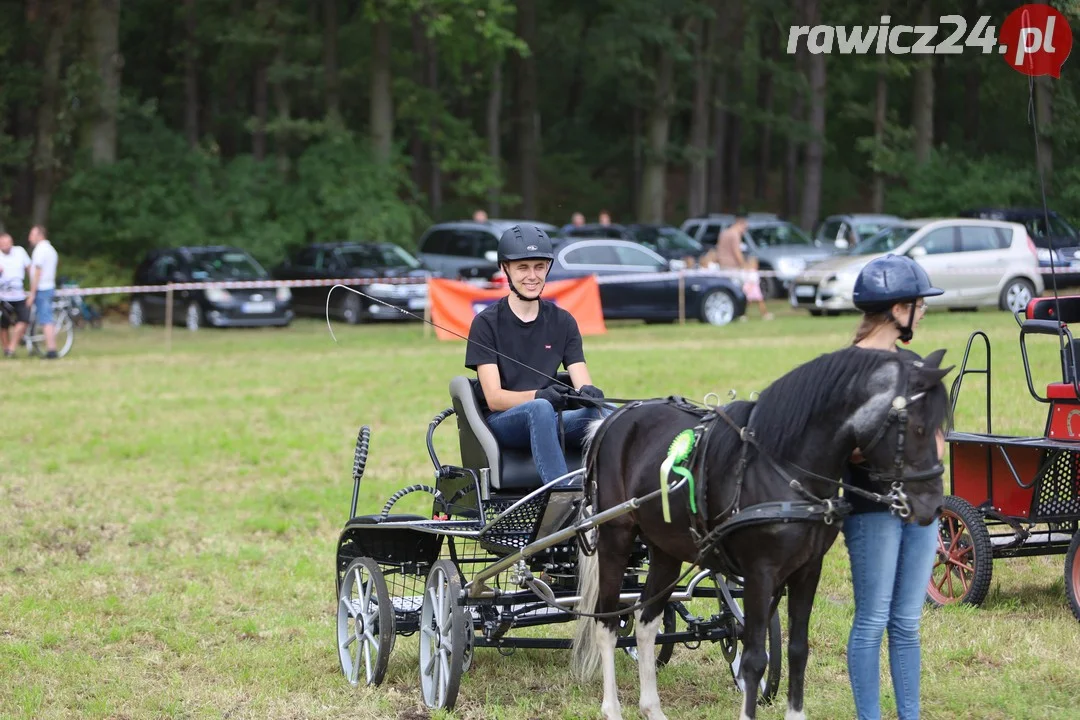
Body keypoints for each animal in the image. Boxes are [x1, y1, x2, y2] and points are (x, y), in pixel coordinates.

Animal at [570, 345, 950, 720]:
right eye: (917, 428)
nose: (931, 505)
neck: (782, 468)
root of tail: (611, 420)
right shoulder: (759, 574)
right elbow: (754, 659)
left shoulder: (807, 570)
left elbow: (798, 650)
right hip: (615, 538)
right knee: (607, 625)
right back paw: (612, 709)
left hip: (665, 549)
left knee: (645, 622)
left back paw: (652, 708)